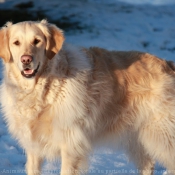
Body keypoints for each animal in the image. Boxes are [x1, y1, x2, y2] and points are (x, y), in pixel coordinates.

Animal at [0, 19, 175, 174]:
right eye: (16, 43)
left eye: (37, 41)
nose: (26, 60)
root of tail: (168, 64)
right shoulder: (34, 147)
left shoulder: (71, 146)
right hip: (138, 138)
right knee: (148, 164)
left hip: (162, 136)